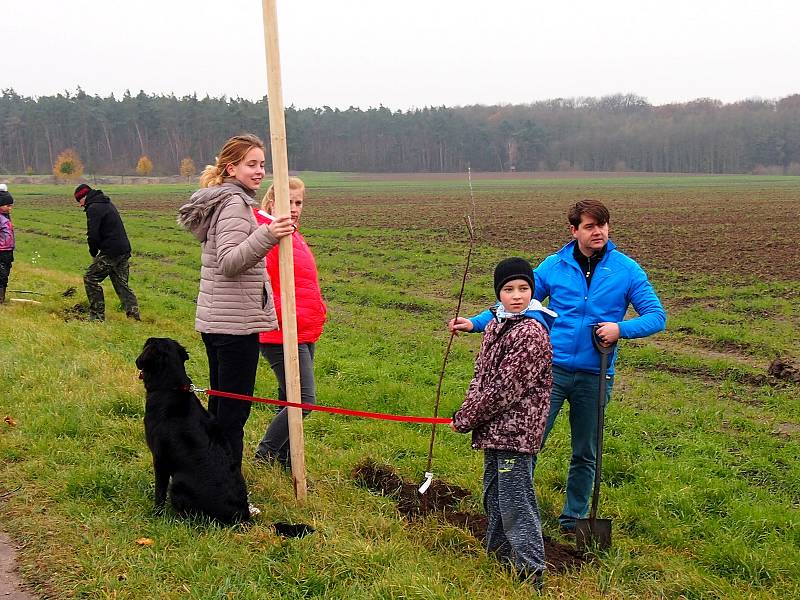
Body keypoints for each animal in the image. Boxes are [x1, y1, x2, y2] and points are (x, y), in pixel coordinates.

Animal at [136, 338, 250, 524]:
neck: (170, 387)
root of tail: (240, 515)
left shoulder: (160, 459)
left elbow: (159, 492)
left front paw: (155, 514)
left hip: (178, 482)